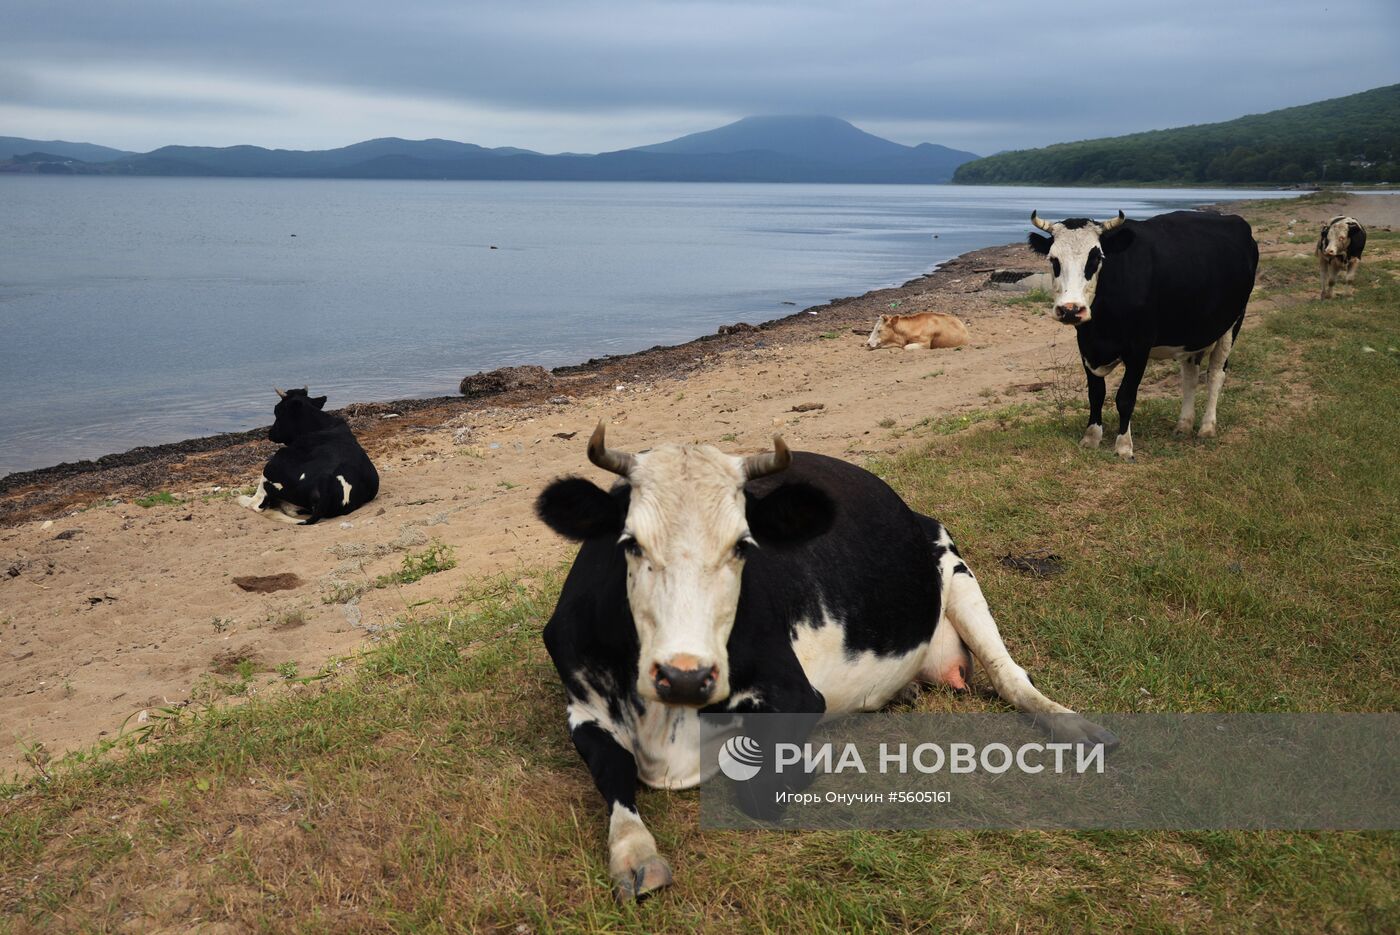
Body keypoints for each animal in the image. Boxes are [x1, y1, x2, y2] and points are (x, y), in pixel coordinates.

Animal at [236, 383, 378, 523]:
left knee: (256, 504)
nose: (270, 433)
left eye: (277, 410)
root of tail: (327, 481)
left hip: (272, 466)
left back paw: (241, 498)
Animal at [534, 428, 1114, 901]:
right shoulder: (583, 709)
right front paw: (636, 855)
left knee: (1010, 675)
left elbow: (760, 788)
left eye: (742, 545)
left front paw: (805, 764)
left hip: (954, 567)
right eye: (630, 543)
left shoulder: (797, 695)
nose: (685, 675)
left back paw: (1075, 726)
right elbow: (614, 775)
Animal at [1024, 211, 1265, 459]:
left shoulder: (1139, 348)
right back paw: (1184, 425)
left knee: (1216, 374)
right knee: (1190, 376)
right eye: (1054, 260)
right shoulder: (1086, 346)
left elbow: (1125, 397)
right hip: (1191, 334)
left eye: (1096, 258)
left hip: (1233, 323)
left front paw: (1123, 446)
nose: (1071, 310)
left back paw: (1207, 427)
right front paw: (1091, 438)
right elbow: (1096, 394)